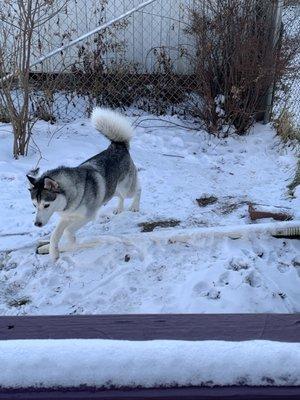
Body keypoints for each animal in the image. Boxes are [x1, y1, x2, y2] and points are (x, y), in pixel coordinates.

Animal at [27, 108, 141, 260]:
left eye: (46, 205)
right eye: (34, 205)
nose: (37, 224)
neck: (73, 195)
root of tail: (118, 145)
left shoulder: (87, 216)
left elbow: (68, 231)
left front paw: (71, 242)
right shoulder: (67, 216)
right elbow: (55, 235)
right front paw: (53, 252)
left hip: (127, 188)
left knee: (138, 189)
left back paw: (134, 206)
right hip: (111, 189)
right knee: (119, 196)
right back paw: (119, 209)